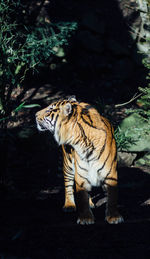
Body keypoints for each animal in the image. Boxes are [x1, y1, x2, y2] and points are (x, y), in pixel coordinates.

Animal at [35, 96, 123, 225]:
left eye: (49, 110)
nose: (35, 115)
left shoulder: (111, 174)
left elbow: (112, 197)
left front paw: (114, 217)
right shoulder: (80, 174)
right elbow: (82, 197)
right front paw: (85, 218)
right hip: (68, 165)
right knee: (68, 185)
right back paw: (69, 205)